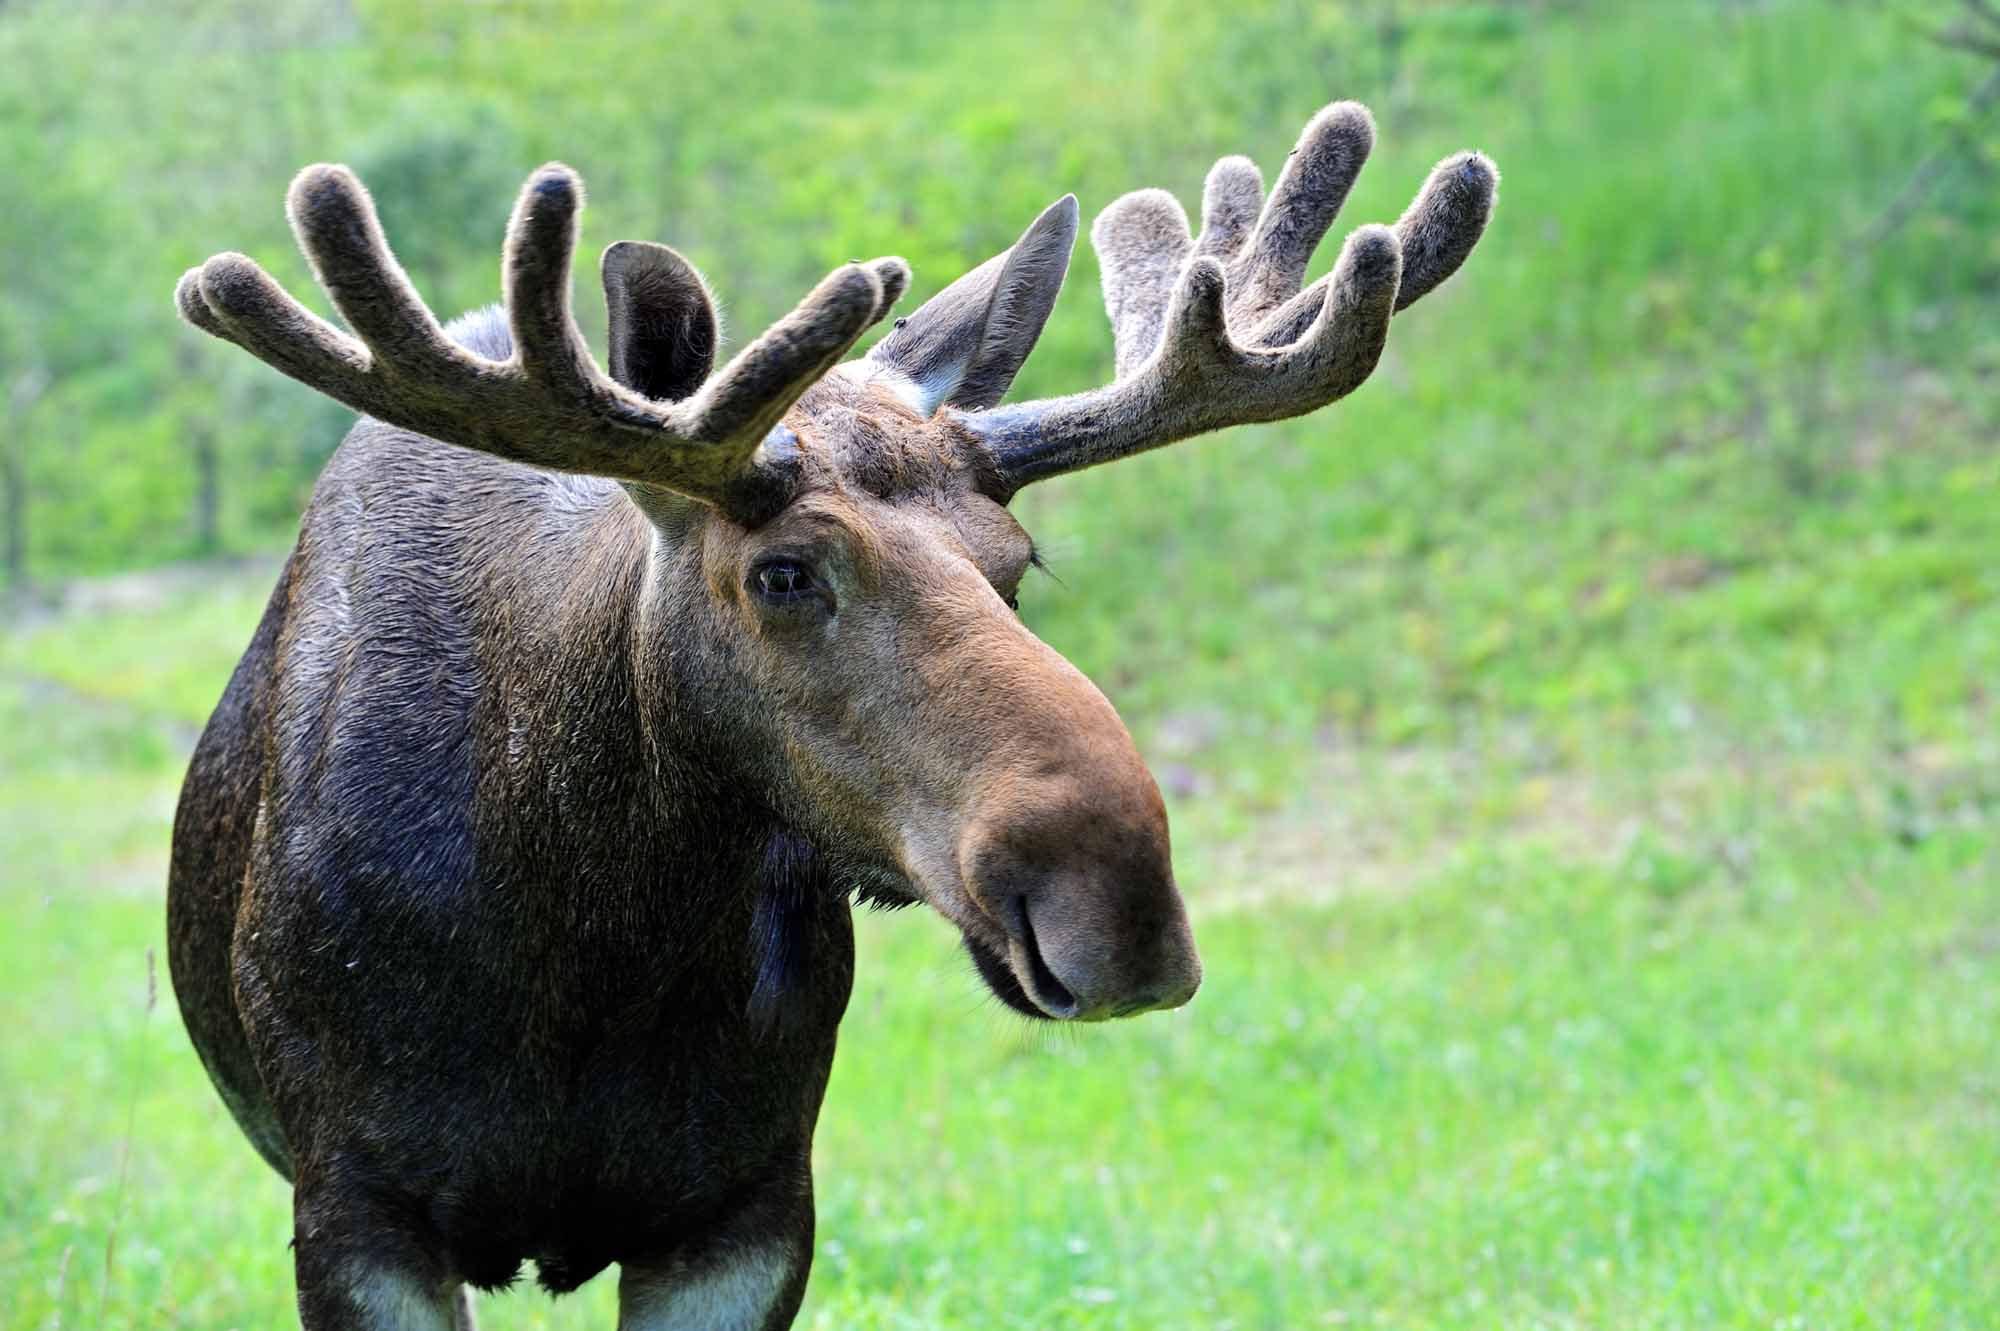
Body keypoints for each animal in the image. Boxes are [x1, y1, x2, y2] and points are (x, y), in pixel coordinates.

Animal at [168, 103, 1488, 1327]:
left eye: (1015, 562)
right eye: (784, 572)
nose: (1117, 904)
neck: (584, 936)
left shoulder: (747, 1205)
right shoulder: (359, 1205)